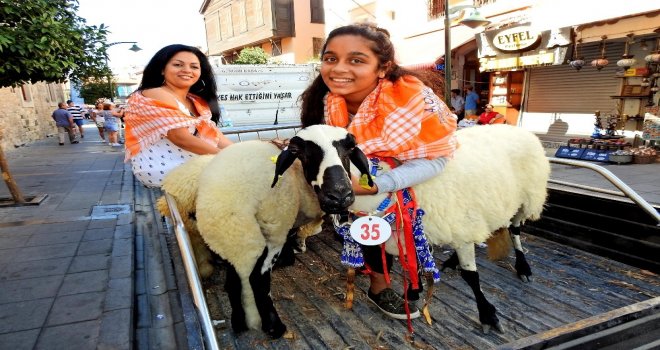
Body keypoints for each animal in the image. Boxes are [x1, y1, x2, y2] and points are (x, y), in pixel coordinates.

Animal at [350, 123, 552, 334]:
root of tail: (519, 129)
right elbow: (417, 262)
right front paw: (415, 290)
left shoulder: (458, 223)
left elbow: (471, 276)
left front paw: (488, 315)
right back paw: (454, 260)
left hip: (528, 197)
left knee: (515, 229)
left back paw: (523, 267)